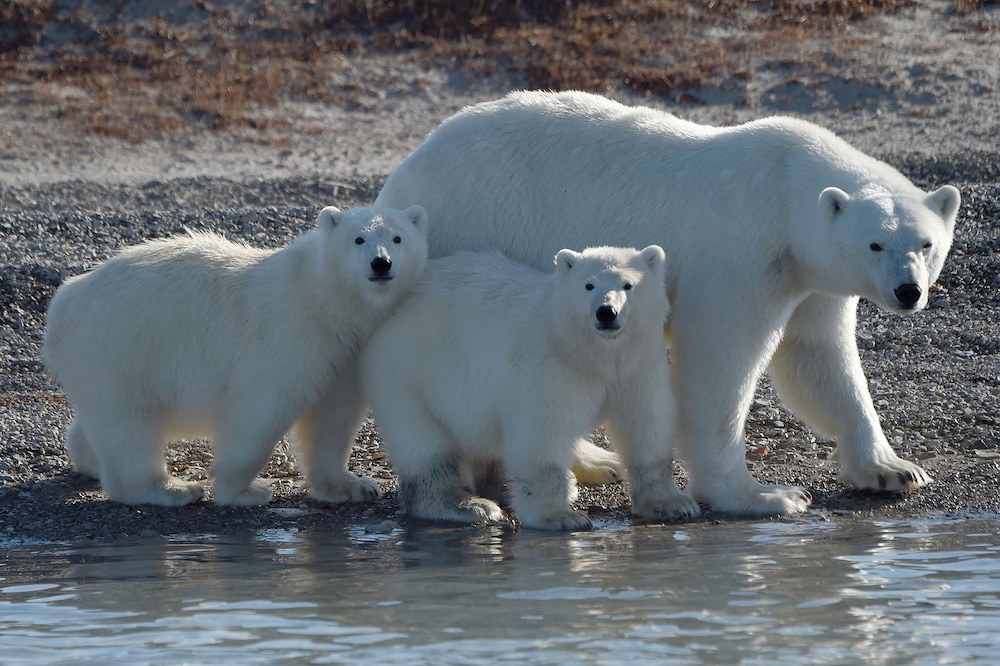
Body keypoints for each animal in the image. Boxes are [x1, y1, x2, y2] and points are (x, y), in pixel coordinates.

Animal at [43, 204, 429, 507]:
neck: (324, 300)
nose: (381, 263)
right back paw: (172, 489)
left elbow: (332, 418)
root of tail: (64, 301)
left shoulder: (342, 353)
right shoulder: (287, 332)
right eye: (358, 239)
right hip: (122, 346)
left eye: (398, 238)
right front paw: (243, 491)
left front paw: (352, 486)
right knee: (129, 423)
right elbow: (260, 409)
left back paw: (90, 461)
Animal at [360, 245, 701, 530]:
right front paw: (561, 516)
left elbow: (646, 424)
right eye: (588, 285)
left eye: (628, 285)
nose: (606, 312)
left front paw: (674, 504)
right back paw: (470, 505)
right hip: (408, 373)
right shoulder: (548, 369)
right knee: (424, 445)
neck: (590, 355)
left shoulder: (637, 367)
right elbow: (542, 436)